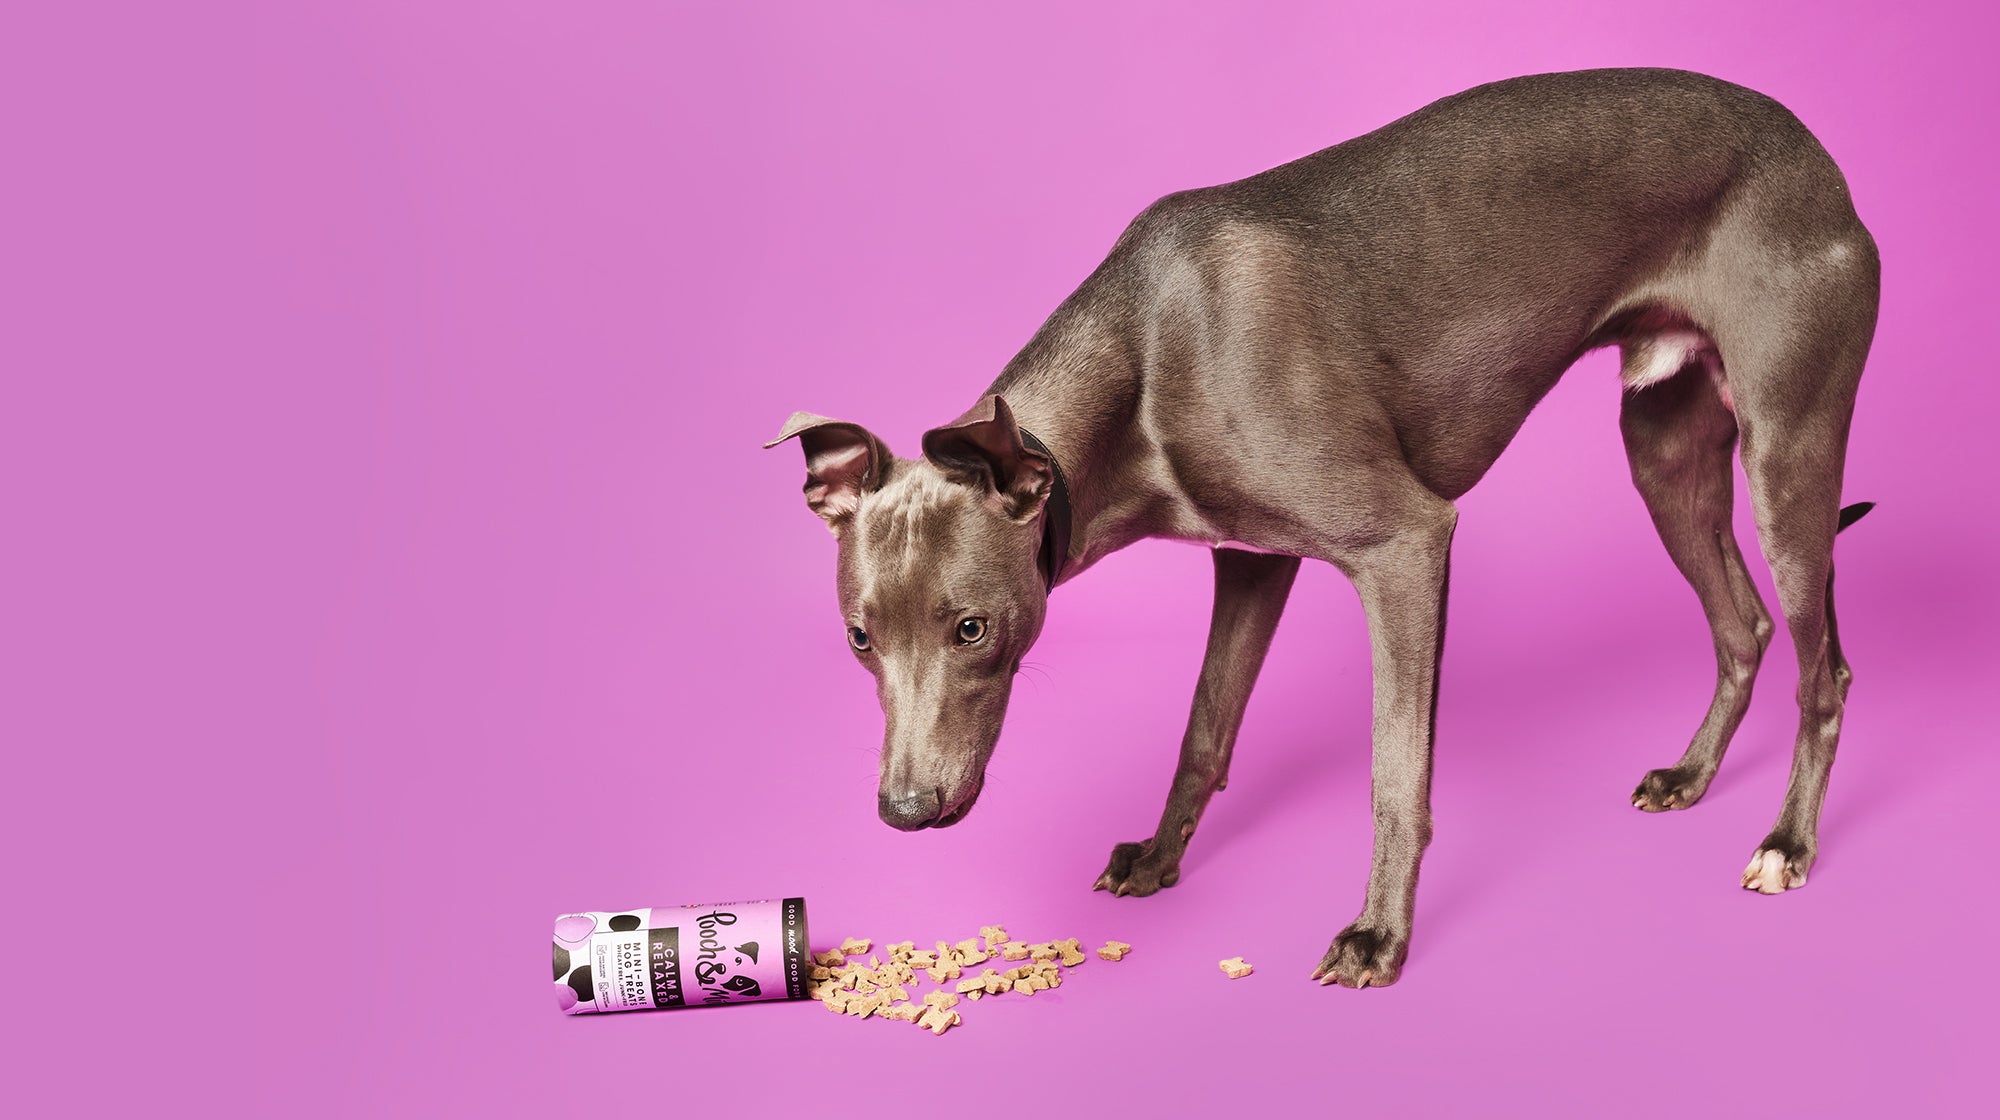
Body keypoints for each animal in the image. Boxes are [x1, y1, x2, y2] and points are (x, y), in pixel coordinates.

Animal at [764, 68, 1872, 988]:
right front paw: (1159, 857)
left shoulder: (1406, 546)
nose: (904, 814)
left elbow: (1394, 769)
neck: (1144, 351)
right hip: (1663, 453)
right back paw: (1690, 776)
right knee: (1742, 625)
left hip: (1787, 455)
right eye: (858, 638)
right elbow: (1205, 727)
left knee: (1824, 668)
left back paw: (1786, 843)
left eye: (972, 628)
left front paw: (1378, 934)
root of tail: (1812, 152)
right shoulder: (1250, 562)